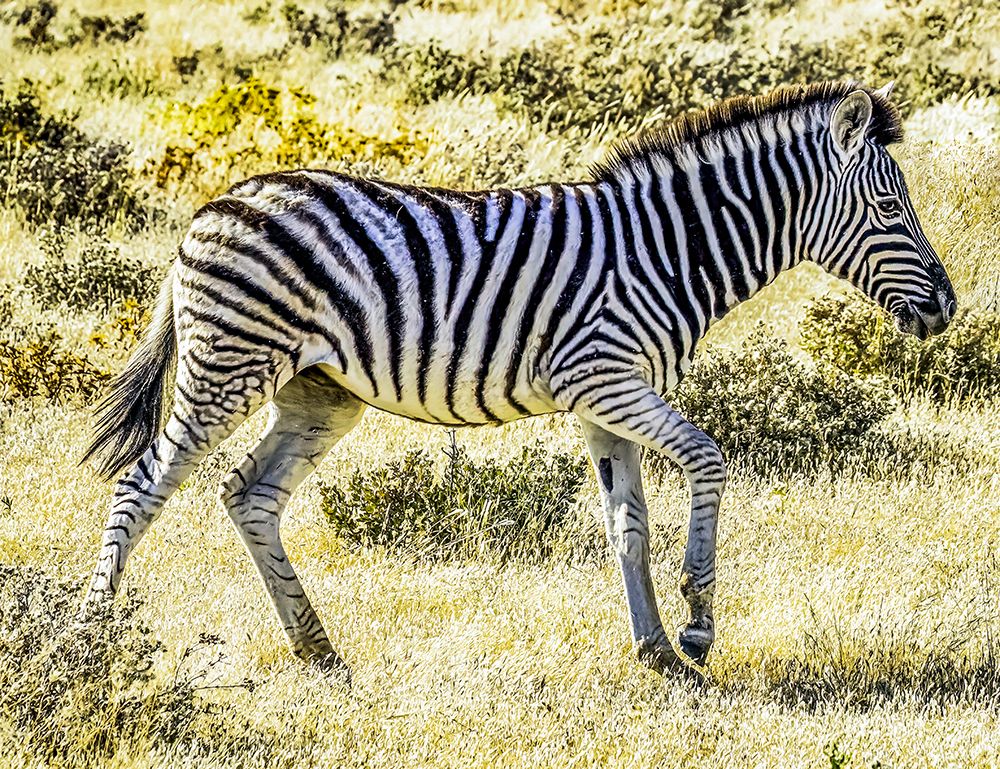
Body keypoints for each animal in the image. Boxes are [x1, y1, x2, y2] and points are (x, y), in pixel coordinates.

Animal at [81, 80, 956, 676]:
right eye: (889, 209)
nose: (947, 307)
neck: (670, 247)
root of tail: (213, 204)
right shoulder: (602, 378)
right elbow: (708, 458)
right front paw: (698, 624)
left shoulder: (603, 401)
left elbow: (627, 524)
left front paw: (654, 650)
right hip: (228, 364)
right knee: (140, 485)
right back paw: (86, 639)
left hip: (320, 393)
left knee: (248, 494)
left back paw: (318, 647)